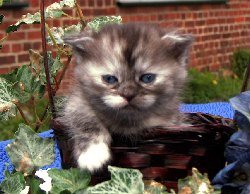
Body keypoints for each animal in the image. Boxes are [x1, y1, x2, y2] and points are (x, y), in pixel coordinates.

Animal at [59, 22, 193, 171]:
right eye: (110, 79)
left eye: (147, 78)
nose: (128, 95)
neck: (127, 120)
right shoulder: (76, 102)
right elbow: (84, 119)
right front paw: (93, 153)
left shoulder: (171, 123)